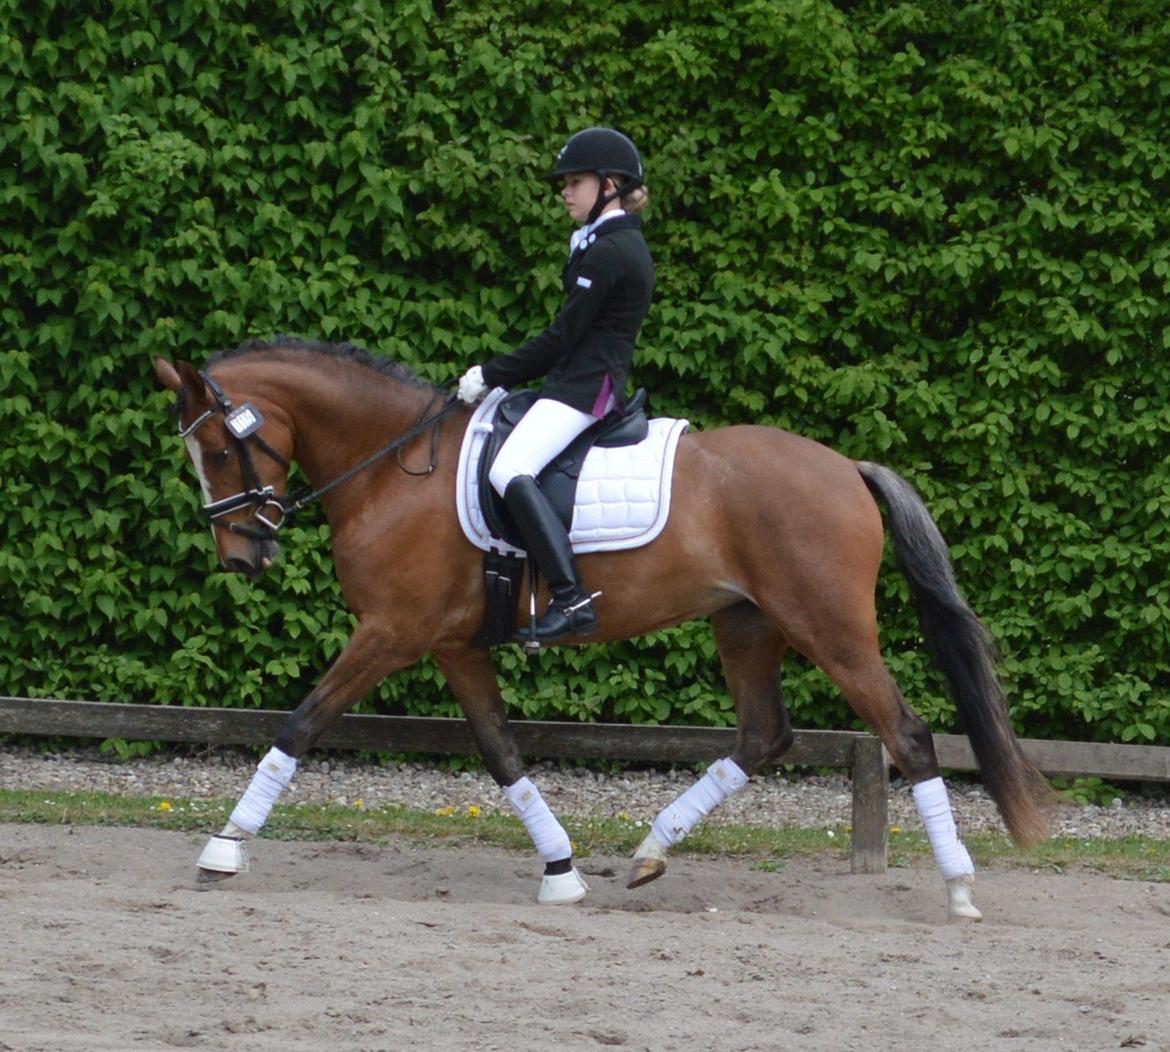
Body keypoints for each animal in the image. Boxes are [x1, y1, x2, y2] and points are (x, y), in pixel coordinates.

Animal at [154, 336, 1050, 921]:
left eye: (218, 450)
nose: (243, 556)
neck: (392, 468)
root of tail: (846, 469)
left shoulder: (389, 632)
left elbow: (301, 723)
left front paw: (223, 848)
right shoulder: (450, 645)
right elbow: (501, 752)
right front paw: (561, 870)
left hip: (830, 629)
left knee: (907, 733)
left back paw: (960, 888)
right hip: (747, 625)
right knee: (764, 735)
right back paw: (652, 852)